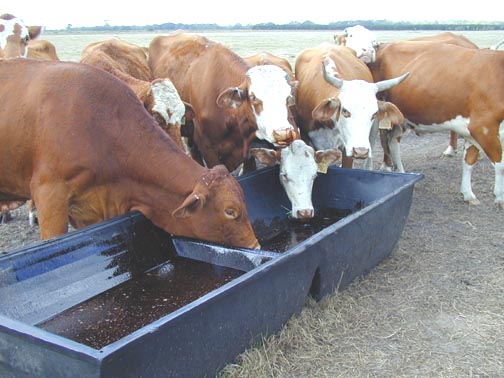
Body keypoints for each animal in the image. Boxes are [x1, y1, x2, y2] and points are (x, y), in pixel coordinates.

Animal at [366, 41, 504, 207]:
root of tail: (383, 46)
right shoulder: (483, 127)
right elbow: (500, 165)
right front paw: (500, 198)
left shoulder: (473, 130)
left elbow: (469, 160)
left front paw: (468, 194)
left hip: (401, 119)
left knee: (393, 141)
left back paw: (401, 172)